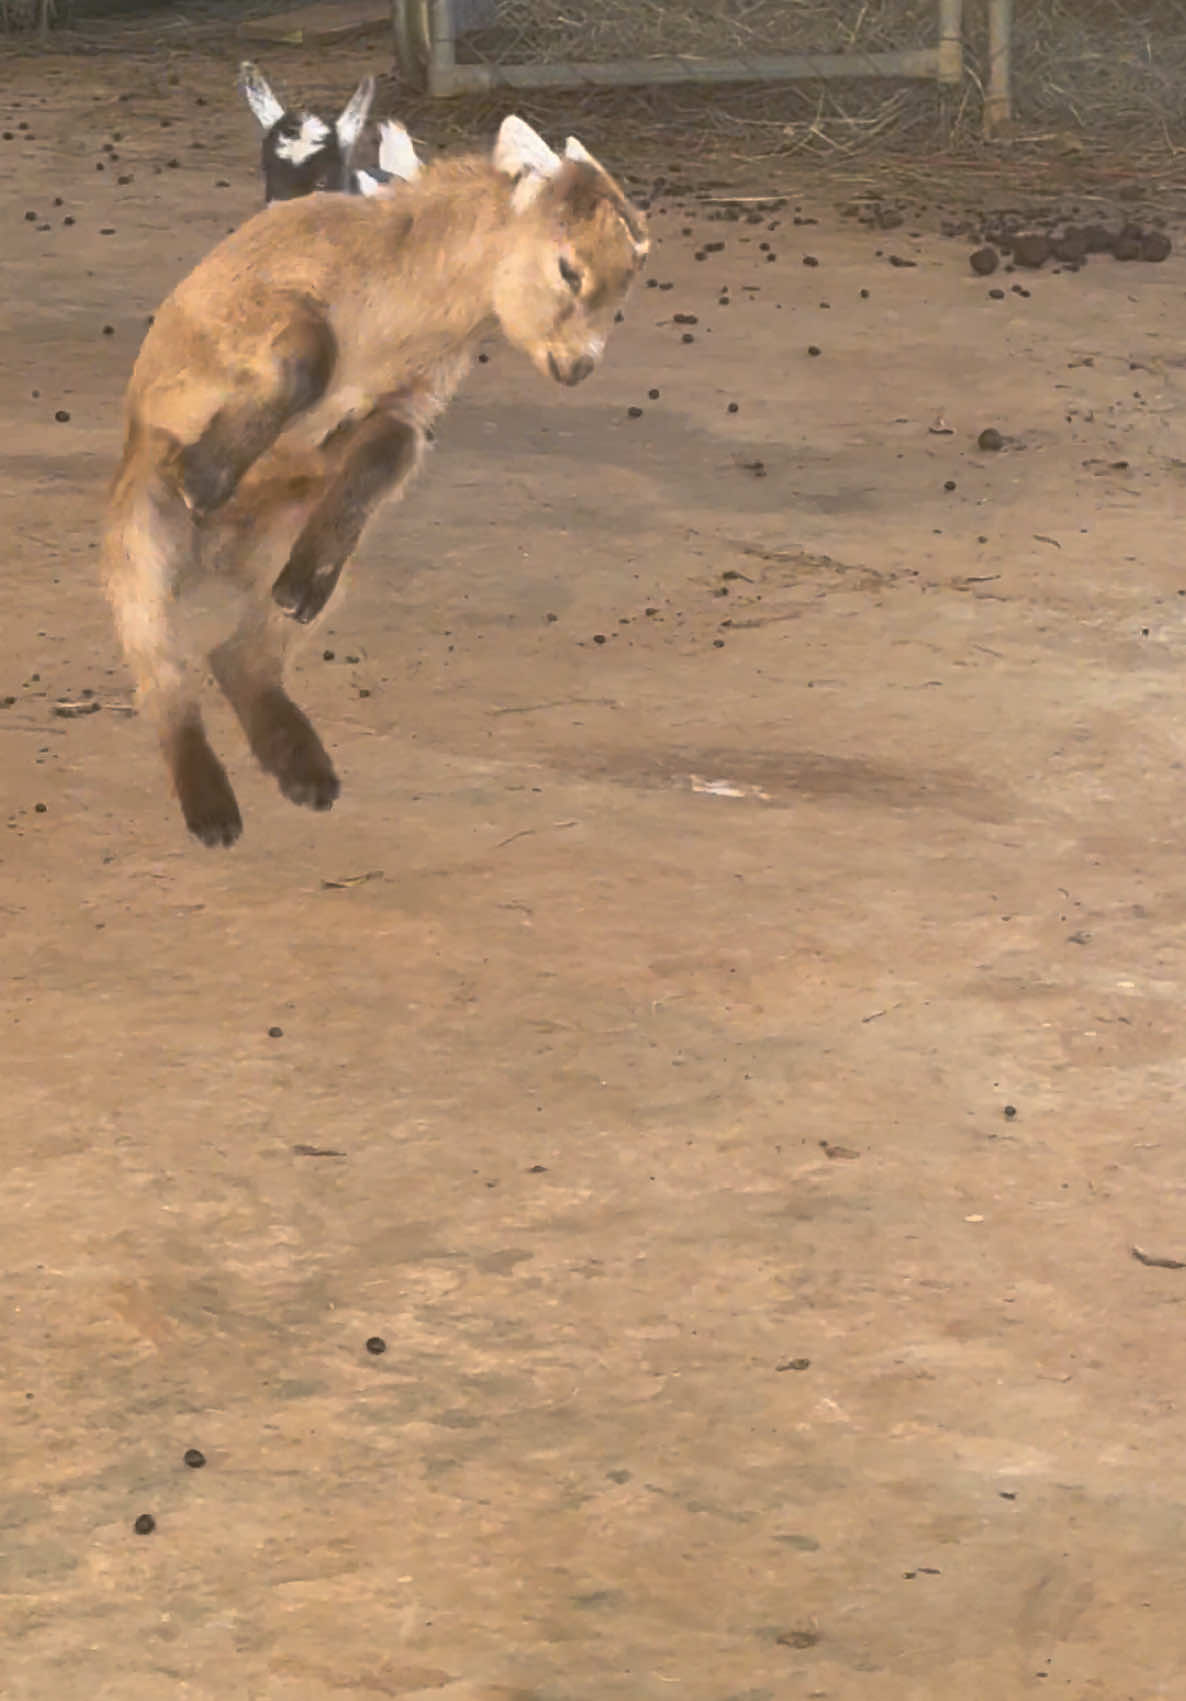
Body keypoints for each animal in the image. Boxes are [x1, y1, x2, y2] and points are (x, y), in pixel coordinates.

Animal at [104, 116, 646, 847]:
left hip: (299, 552)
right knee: (164, 673)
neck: (394, 308)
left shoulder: (411, 405)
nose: (579, 366)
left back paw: (304, 771)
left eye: (625, 288)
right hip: (138, 531)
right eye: (569, 268)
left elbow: (386, 455)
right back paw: (213, 809)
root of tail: (217, 560)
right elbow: (307, 347)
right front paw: (205, 475)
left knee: (242, 655)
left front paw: (302, 582)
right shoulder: (222, 337)